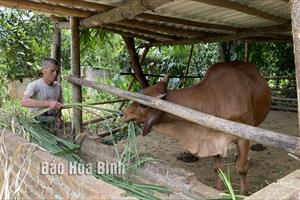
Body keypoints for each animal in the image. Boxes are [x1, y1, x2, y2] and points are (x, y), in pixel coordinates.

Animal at [122, 61, 272, 195]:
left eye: (144, 105)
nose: (122, 113)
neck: (214, 99)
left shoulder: (243, 137)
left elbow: (241, 169)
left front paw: (244, 193)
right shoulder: (213, 139)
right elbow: (218, 169)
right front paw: (219, 191)